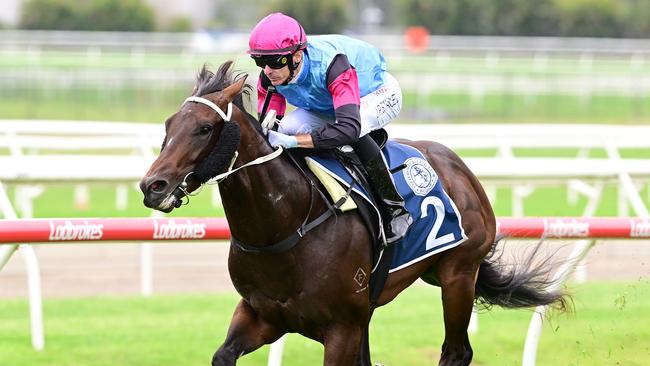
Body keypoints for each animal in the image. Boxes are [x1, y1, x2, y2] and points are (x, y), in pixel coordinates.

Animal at [139, 61, 564, 364]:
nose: (151, 186)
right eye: (169, 124)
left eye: (204, 128)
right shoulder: (262, 316)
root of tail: (460, 168)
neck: (286, 227)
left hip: (458, 275)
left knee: (457, 352)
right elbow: (223, 355)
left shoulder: (342, 328)